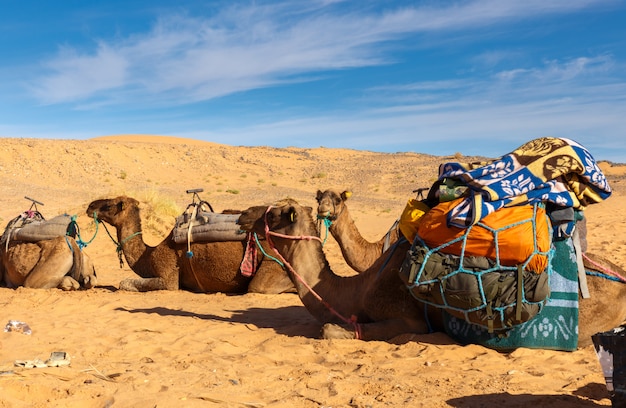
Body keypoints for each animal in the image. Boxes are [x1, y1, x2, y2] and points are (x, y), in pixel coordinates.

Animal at [84, 195, 294, 294]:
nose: (90, 206)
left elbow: (124, 283)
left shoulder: (168, 275)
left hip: (273, 261)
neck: (149, 254)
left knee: (259, 287)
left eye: (109, 204)